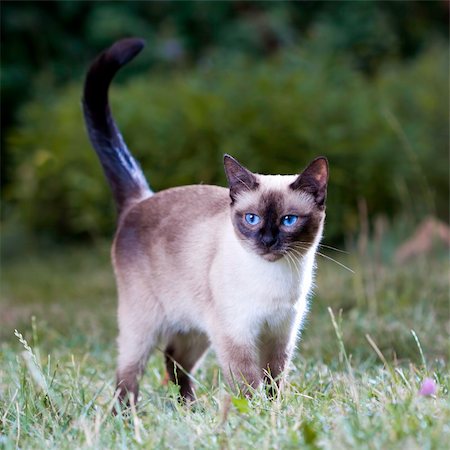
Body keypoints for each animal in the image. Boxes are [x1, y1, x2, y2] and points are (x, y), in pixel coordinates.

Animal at [81, 37, 326, 404]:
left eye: (288, 220)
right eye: (252, 218)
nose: (267, 242)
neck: (274, 280)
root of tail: (141, 198)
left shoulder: (279, 337)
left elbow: (273, 384)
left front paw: (275, 414)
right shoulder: (236, 336)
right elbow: (249, 387)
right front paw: (256, 417)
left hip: (196, 328)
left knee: (174, 361)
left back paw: (190, 410)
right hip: (145, 325)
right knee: (127, 376)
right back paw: (130, 414)